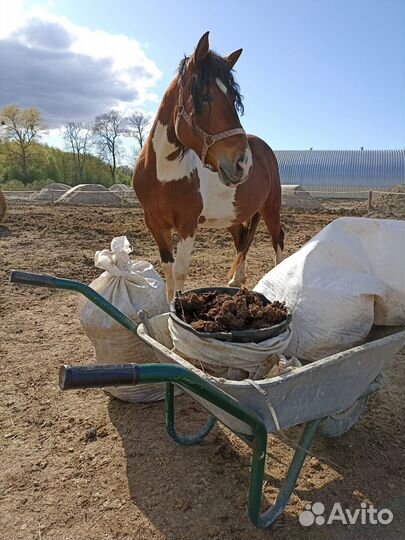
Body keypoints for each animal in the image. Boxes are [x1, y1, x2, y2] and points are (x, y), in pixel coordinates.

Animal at [132, 32, 280, 304]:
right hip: (234, 216)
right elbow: (168, 270)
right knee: (242, 240)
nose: (243, 162)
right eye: (203, 97)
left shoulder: (188, 224)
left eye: (234, 99)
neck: (163, 175)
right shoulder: (154, 223)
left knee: (278, 240)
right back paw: (236, 280)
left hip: (271, 207)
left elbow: (180, 271)